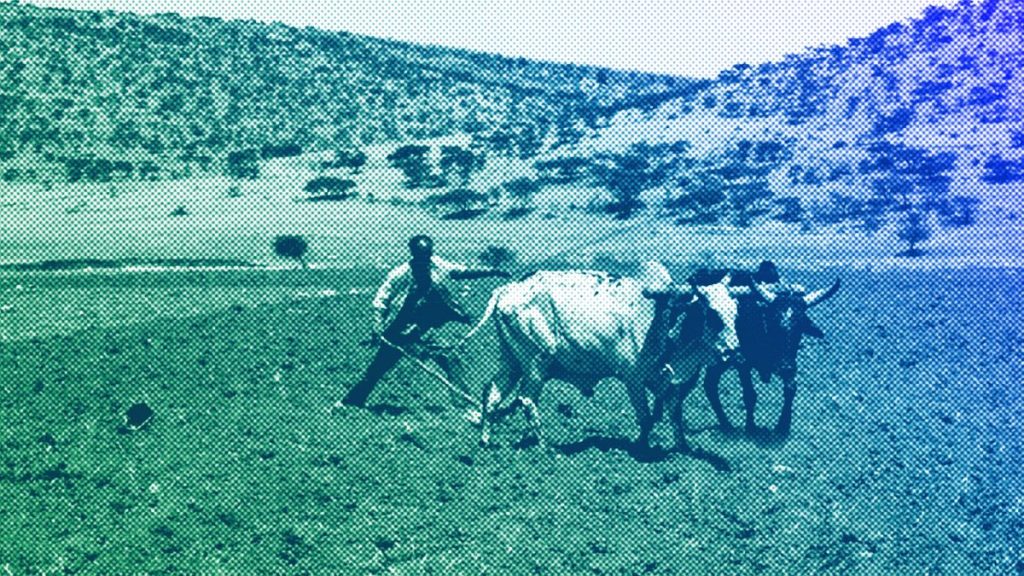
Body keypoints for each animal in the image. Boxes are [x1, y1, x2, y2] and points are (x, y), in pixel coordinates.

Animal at [459, 261, 740, 452]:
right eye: (712, 314)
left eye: (735, 311)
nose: (734, 352)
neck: (664, 315)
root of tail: (506, 289)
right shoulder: (634, 378)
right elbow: (646, 417)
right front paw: (642, 447)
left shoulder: (661, 379)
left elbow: (673, 412)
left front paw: (682, 448)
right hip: (536, 363)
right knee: (526, 400)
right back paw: (545, 447)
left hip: (513, 363)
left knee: (492, 394)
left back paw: (486, 440)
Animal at [697, 264, 841, 437]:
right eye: (774, 324)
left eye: (800, 327)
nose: (785, 367)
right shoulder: (742, 363)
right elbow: (750, 395)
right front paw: (750, 426)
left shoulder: (790, 361)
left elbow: (791, 389)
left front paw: (783, 425)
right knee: (709, 384)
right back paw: (727, 424)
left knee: (710, 383)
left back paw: (726, 423)